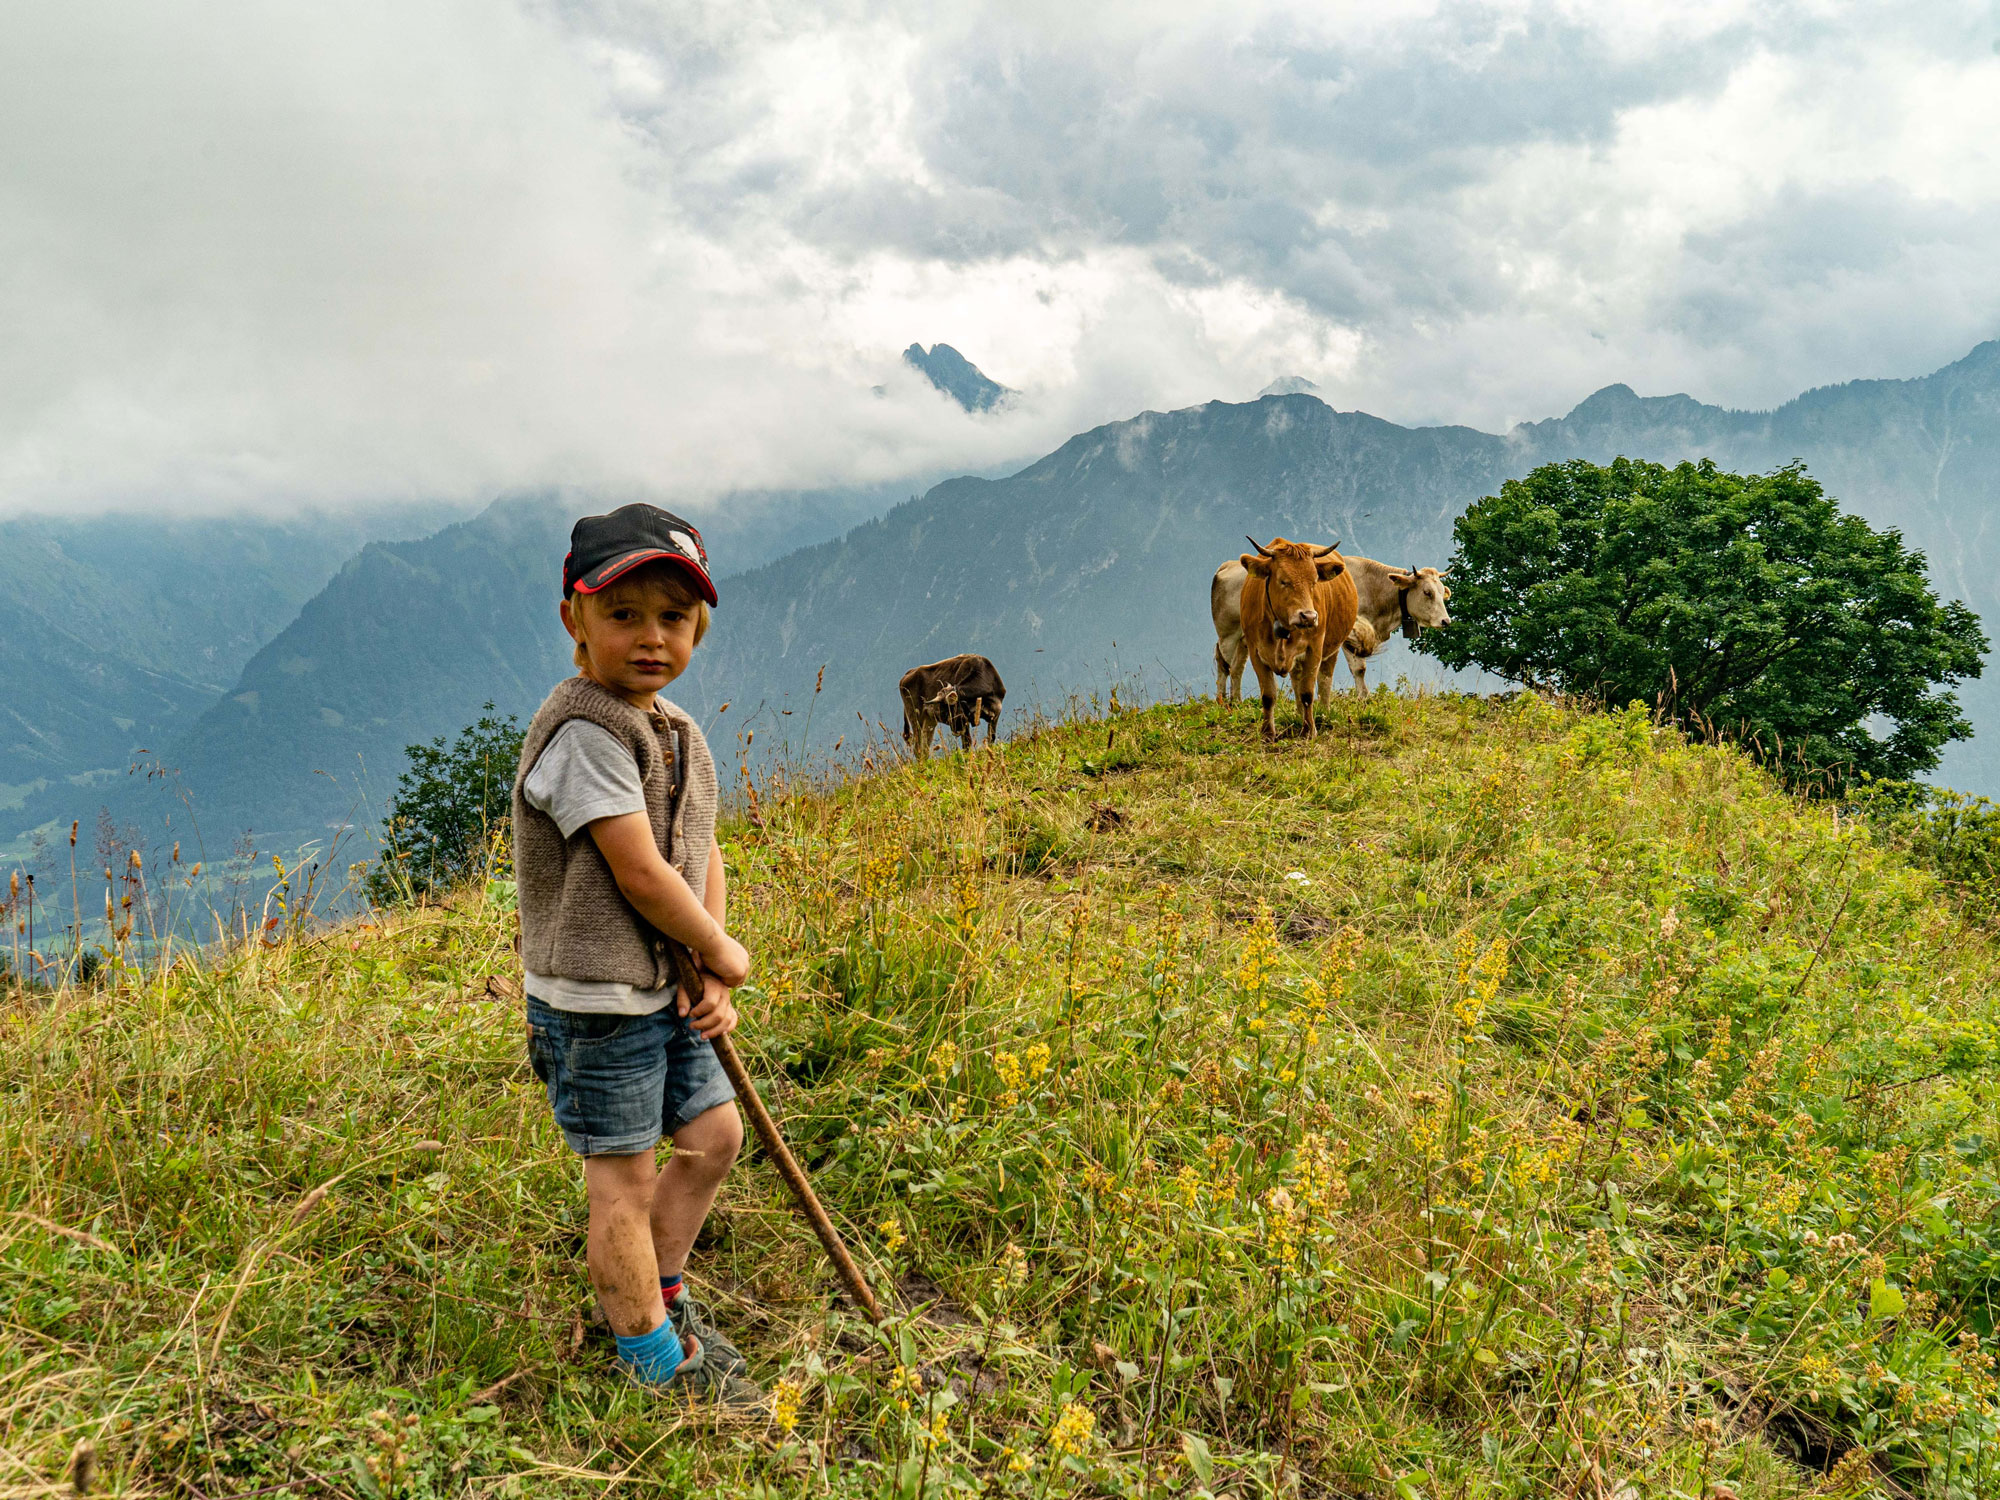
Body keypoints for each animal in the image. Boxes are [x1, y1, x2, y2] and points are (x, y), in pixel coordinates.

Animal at [1208, 560, 1448, 704]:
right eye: (1427, 592)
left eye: (1442, 592)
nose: (1446, 621)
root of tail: (1227, 566)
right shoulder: (1351, 634)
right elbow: (1358, 668)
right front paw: (1363, 698)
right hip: (1227, 633)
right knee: (1223, 662)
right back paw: (1222, 703)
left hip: (1245, 639)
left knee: (1237, 667)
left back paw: (1236, 701)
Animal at [1232, 536, 1360, 744]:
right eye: (1283, 581)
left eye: (1314, 581)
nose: (1309, 616)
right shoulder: (1255, 652)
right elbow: (1268, 695)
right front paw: (1268, 733)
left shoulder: (1314, 649)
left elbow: (1307, 693)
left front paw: (1309, 731)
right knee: (1296, 681)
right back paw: (1300, 714)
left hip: (1331, 649)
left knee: (1324, 681)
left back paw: (1323, 713)